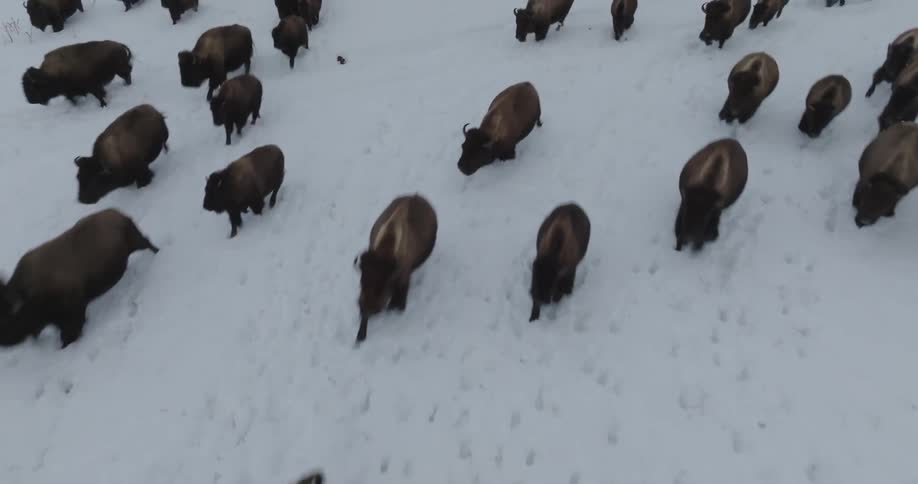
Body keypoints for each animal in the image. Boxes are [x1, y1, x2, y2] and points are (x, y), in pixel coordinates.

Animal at [0, 209, 159, 348]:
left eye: (9, 318)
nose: (3, 340)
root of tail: (117, 213)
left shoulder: (72, 311)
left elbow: (71, 330)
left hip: (136, 242)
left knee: (148, 243)